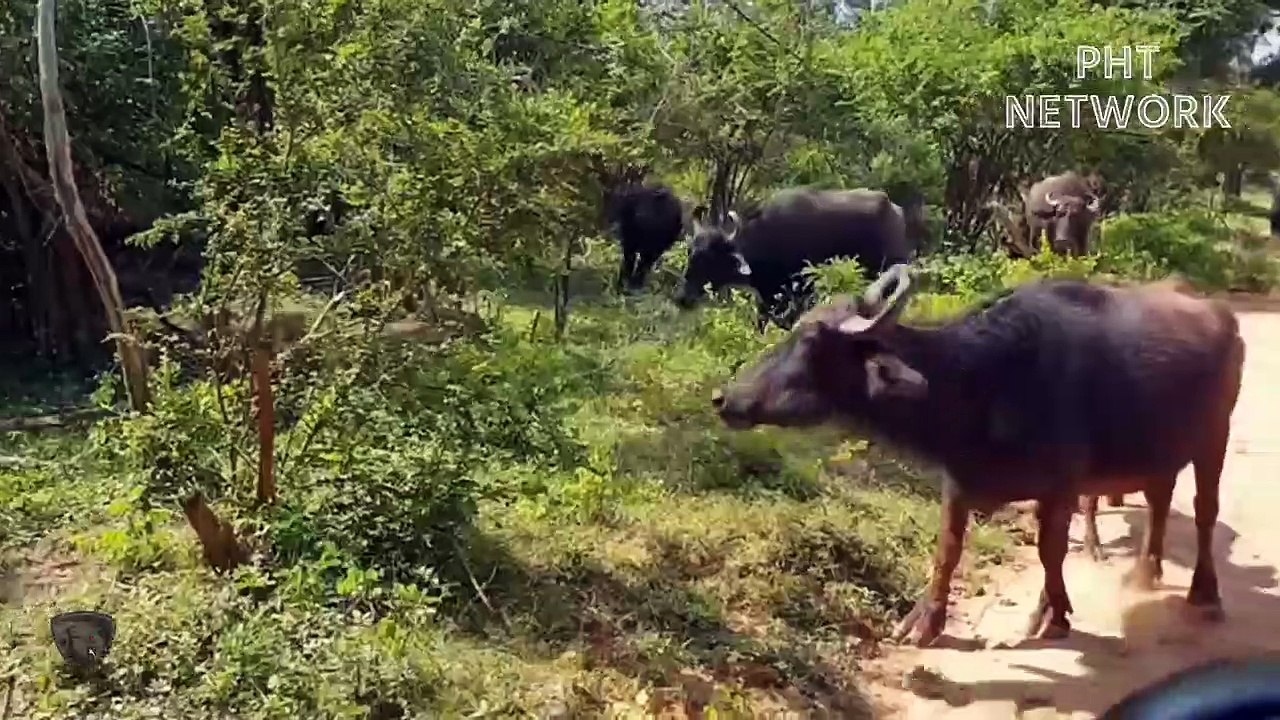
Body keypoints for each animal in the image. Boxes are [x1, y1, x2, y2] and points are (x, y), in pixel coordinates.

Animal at [710, 266, 1244, 647]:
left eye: (811, 341)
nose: (724, 397)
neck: (985, 381)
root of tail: (1223, 317)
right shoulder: (959, 480)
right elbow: (947, 550)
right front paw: (923, 621)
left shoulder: (1062, 487)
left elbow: (1050, 551)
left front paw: (1052, 614)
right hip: (1162, 451)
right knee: (1159, 500)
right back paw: (1146, 572)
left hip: (1214, 440)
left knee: (1204, 513)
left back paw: (1205, 594)